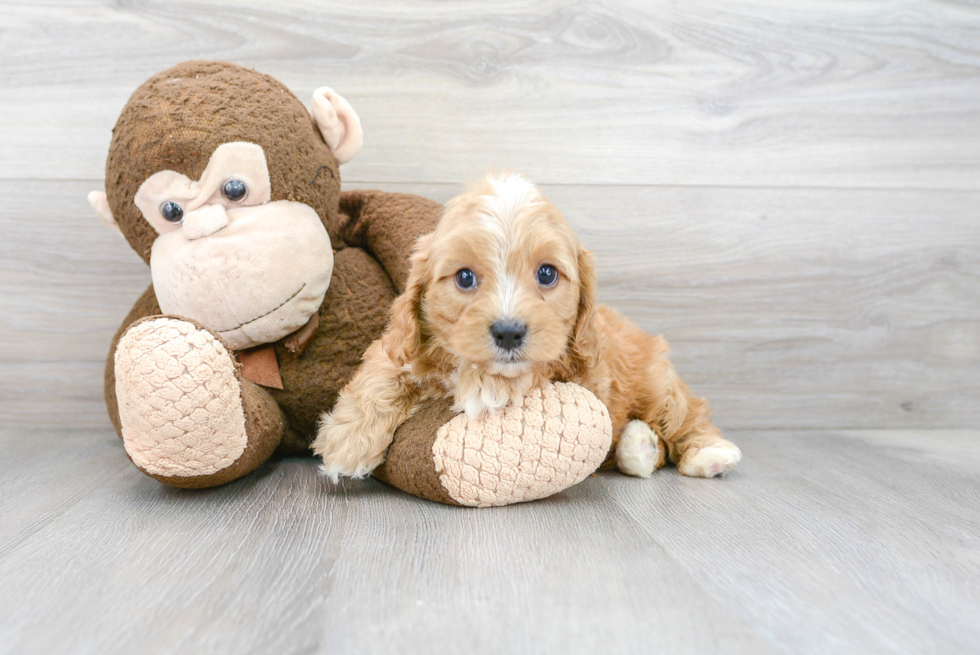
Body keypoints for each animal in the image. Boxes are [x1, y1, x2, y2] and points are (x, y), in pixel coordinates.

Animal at [316, 172, 744, 482]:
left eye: (547, 274)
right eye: (465, 278)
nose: (508, 332)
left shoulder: (572, 369)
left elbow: (508, 379)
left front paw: (482, 387)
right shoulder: (404, 341)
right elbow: (386, 368)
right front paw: (346, 439)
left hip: (655, 380)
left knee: (686, 414)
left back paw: (706, 452)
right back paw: (638, 447)